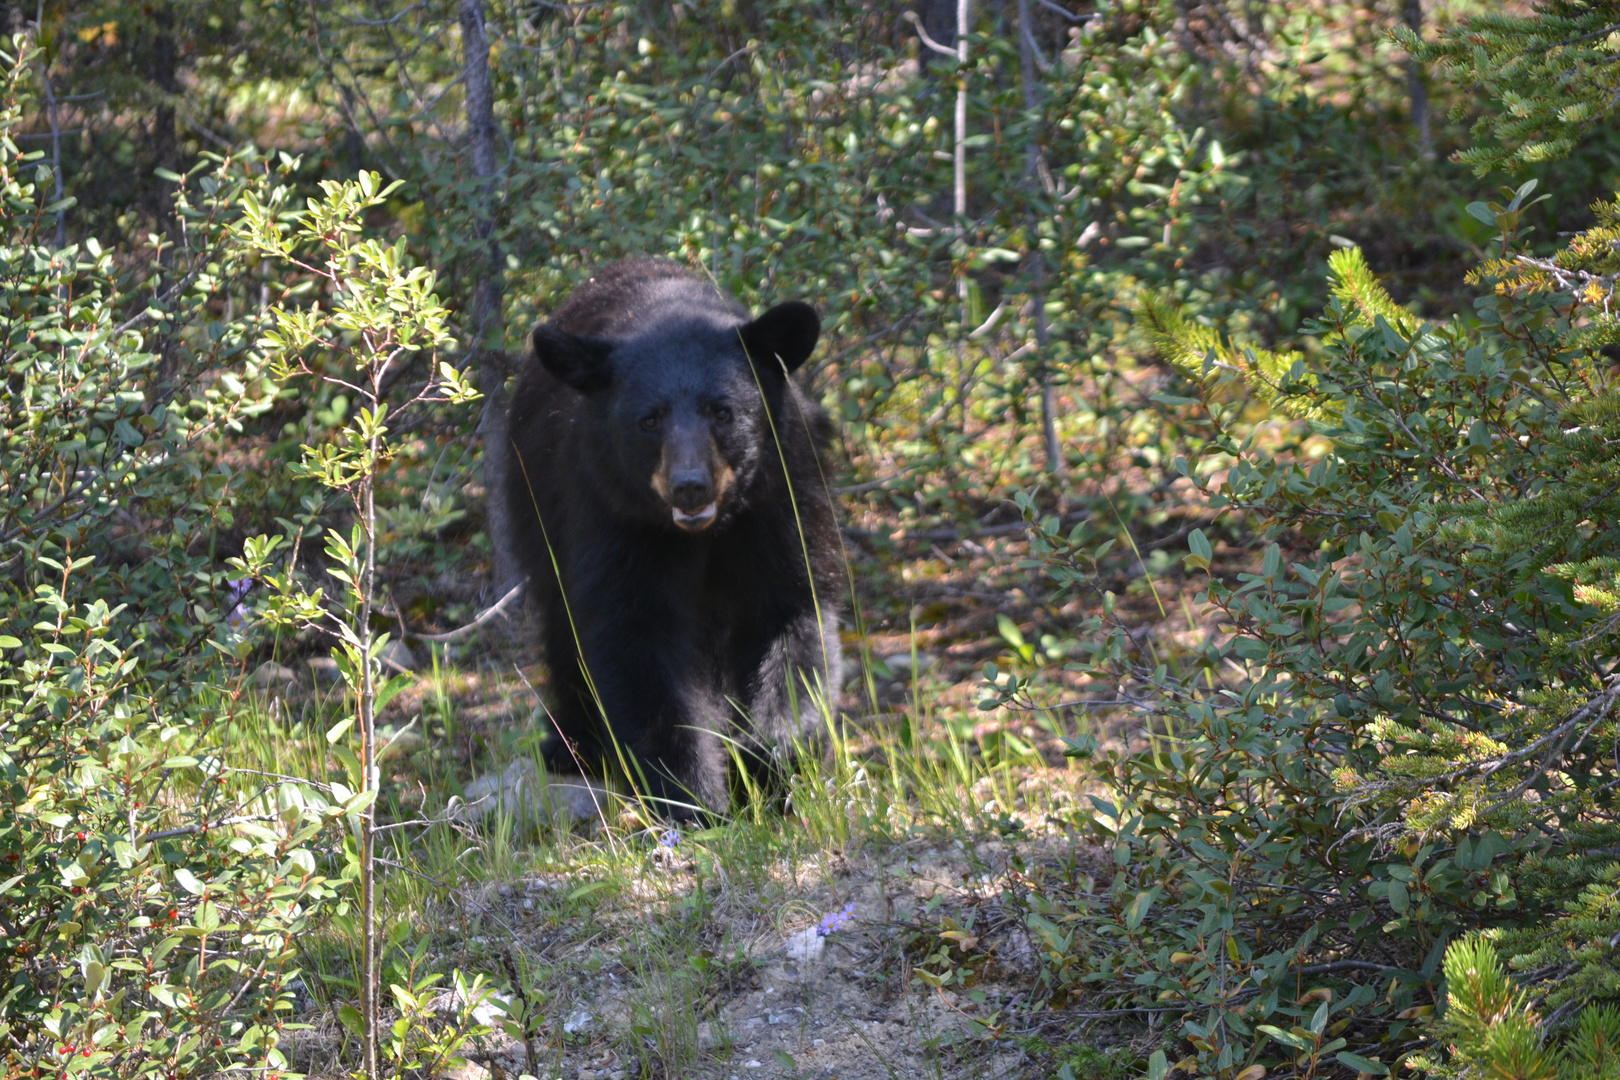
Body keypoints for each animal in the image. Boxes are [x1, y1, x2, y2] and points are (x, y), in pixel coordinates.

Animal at [502, 262, 848, 819]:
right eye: (649, 418)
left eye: (722, 411)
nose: (690, 486)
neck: (709, 530)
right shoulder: (614, 511)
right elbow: (635, 637)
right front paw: (693, 797)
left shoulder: (780, 496)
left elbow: (790, 615)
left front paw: (772, 764)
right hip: (534, 502)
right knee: (561, 621)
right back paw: (574, 745)